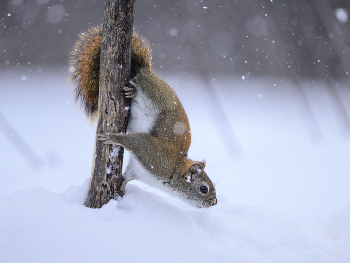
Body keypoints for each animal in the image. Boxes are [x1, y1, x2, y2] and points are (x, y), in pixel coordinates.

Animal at [69, 26, 216, 208]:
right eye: (204, 188)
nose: (215, 202)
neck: (174, 170)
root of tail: (147, 72)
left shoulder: (137, 170)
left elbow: (128, 177)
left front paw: (122, 188)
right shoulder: (154, 154)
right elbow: (137, 140)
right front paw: (112, 137)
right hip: (151, 91)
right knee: (137, 82)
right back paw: (132, 91)